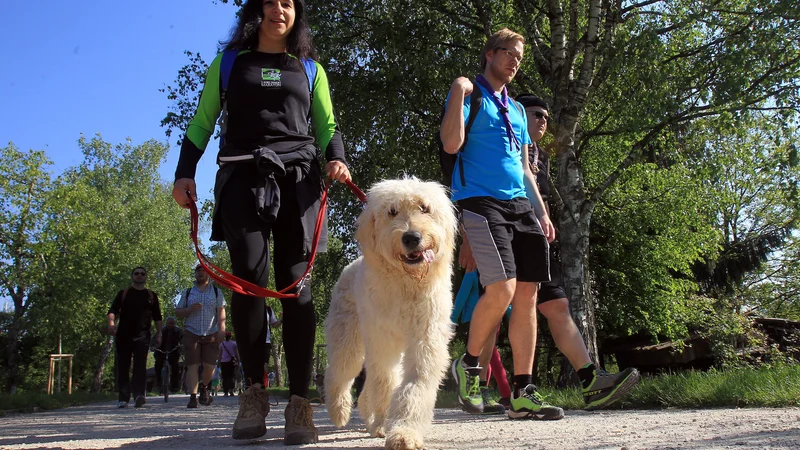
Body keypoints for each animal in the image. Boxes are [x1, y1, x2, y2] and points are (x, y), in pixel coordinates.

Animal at [326, 178, 456, 448]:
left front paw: (404, 431)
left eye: (424, 208)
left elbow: (415, 383)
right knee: (338, 374)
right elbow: (385, 383)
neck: (407, 282)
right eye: (392, 212)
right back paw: (340, 411)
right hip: (348, 341)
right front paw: (386, 423)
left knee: (365, 388)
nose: (412, 237)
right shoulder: (383, 340)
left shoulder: (426, 339)